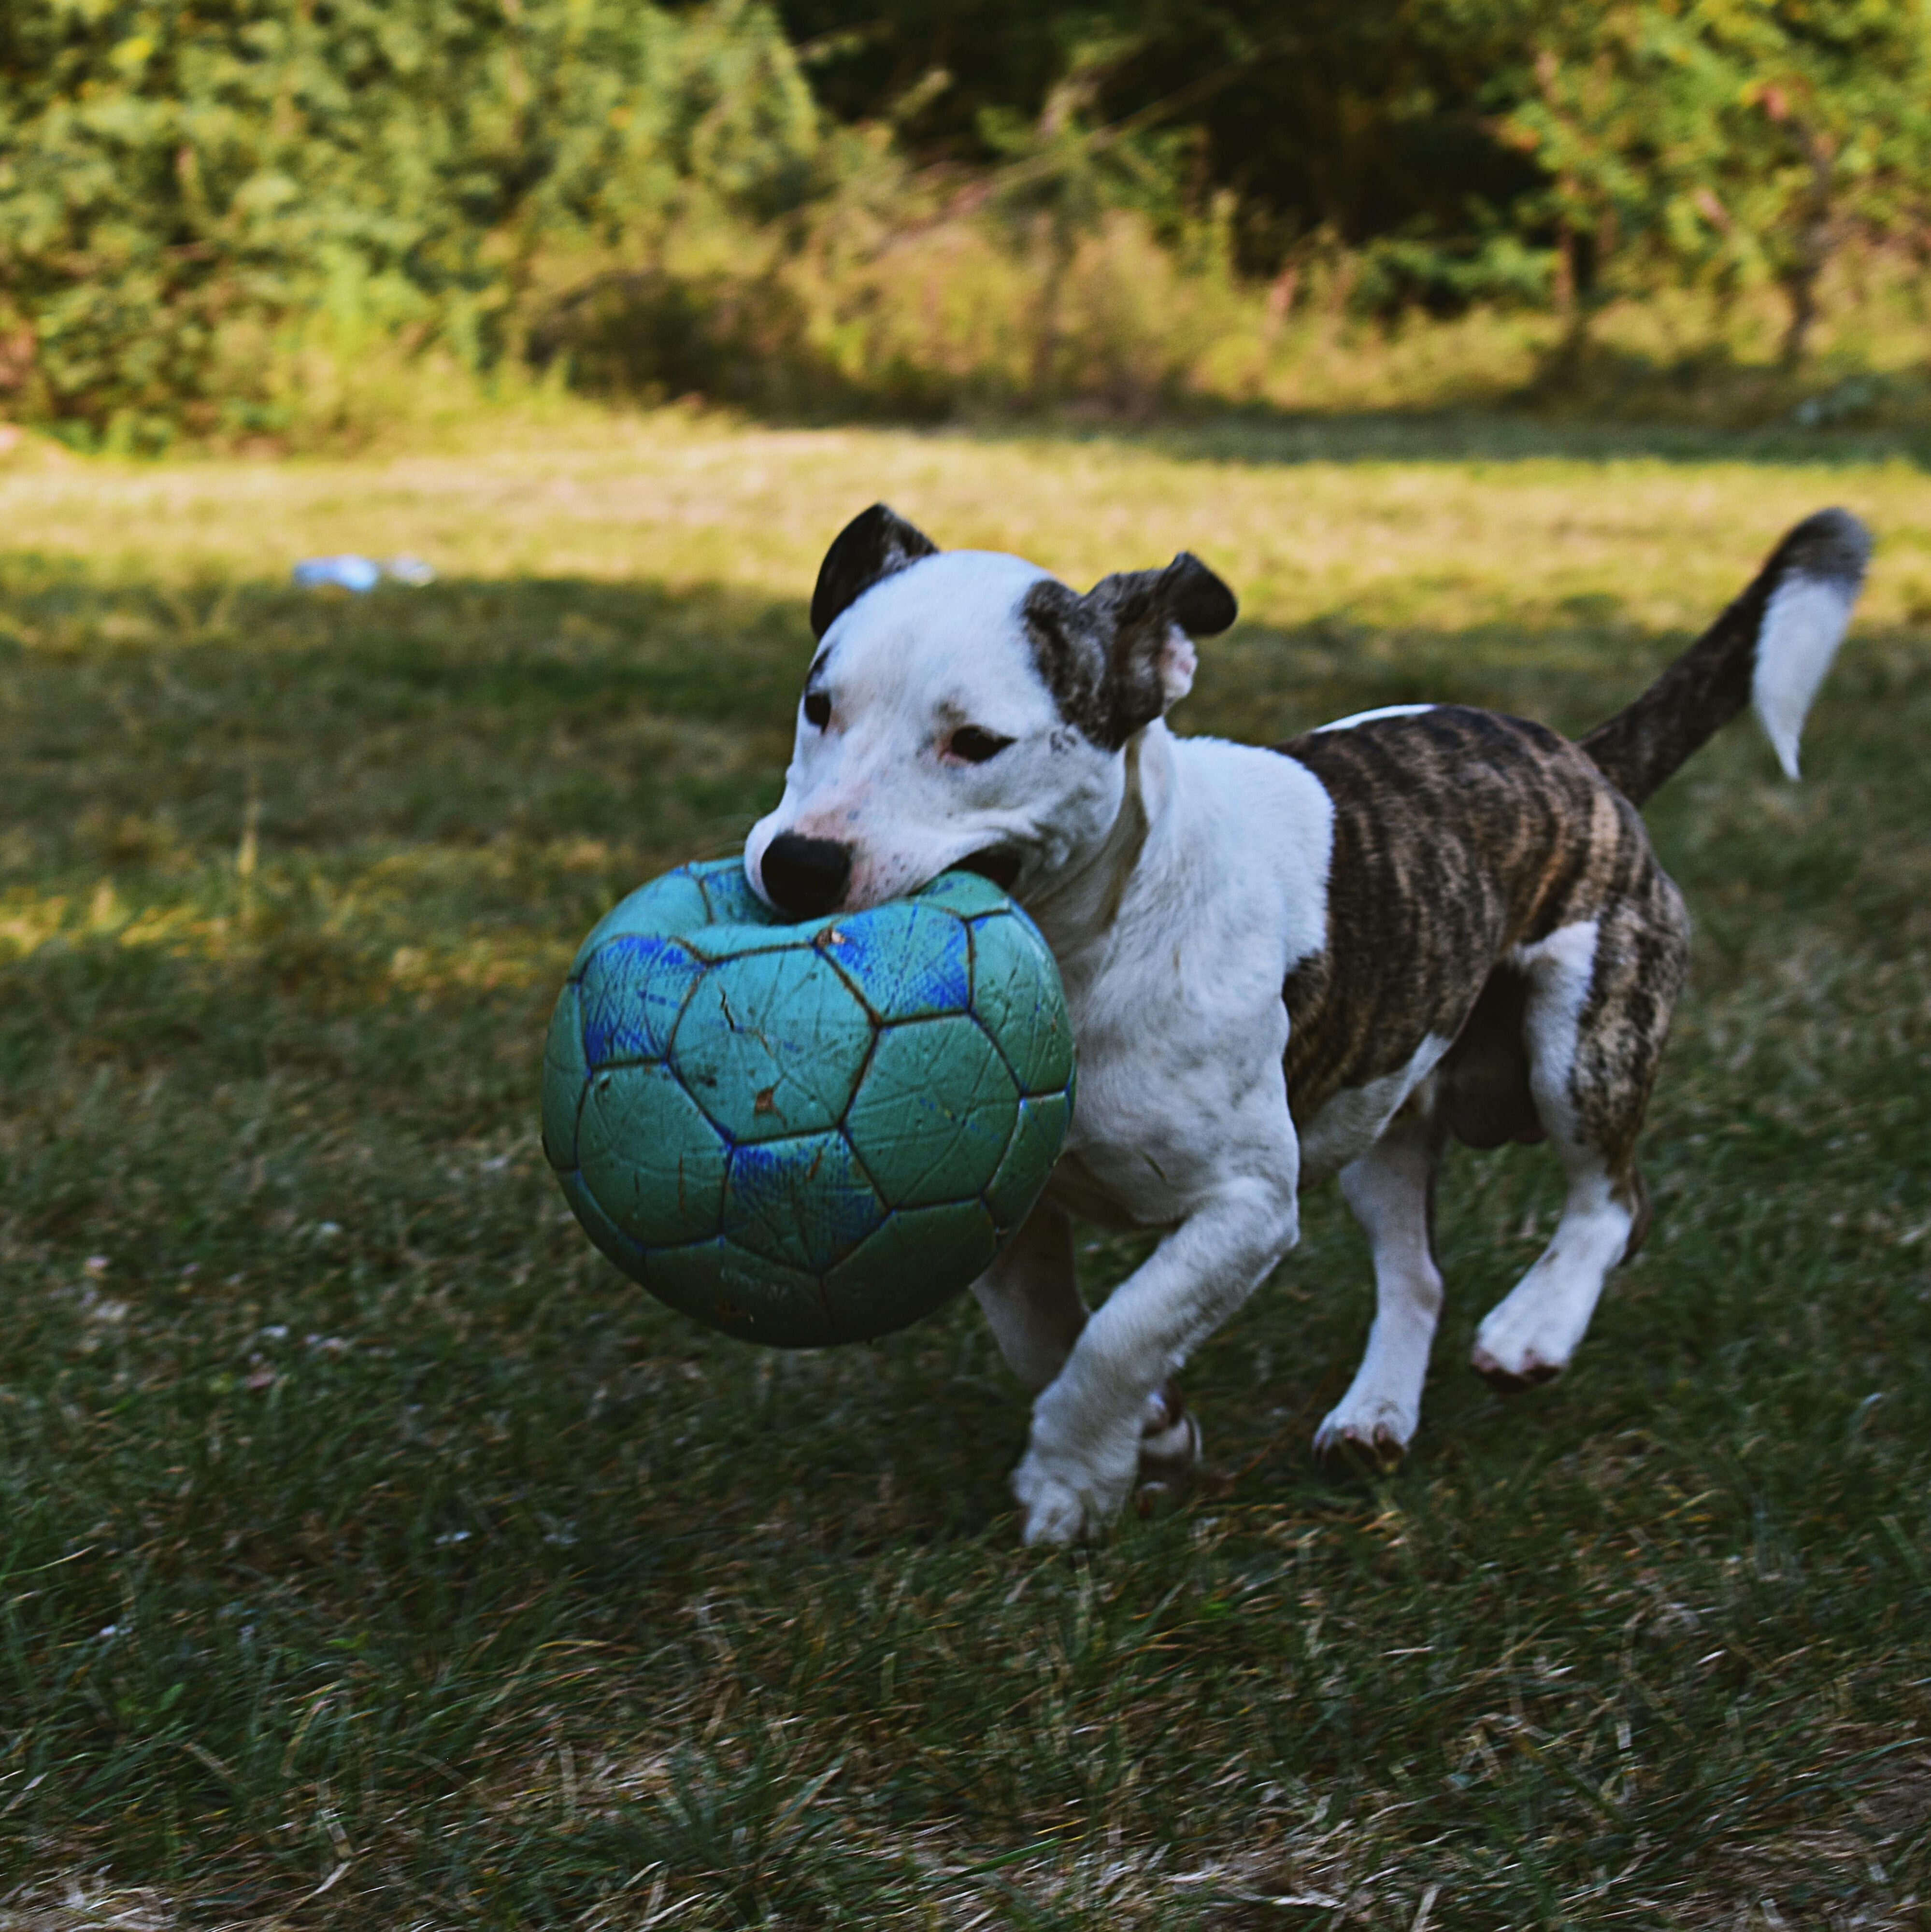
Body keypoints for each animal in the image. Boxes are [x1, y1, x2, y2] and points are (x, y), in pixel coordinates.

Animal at [742, 506, 1871, 1546]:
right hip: (1385, 1111)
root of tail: (1581, 762)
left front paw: (1071, 1480)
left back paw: (1533, 1328)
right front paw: (1154, 1430)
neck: (1088, 947)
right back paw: (1376, 1414)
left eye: (976, 744)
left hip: (1586, 1033)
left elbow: (1121, 1330)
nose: (799, 864)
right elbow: (1045, 1333)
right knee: (1416, 1272)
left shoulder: (1246, 1206)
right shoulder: (989, 1201)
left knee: (1612, 1196)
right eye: (817, 704)